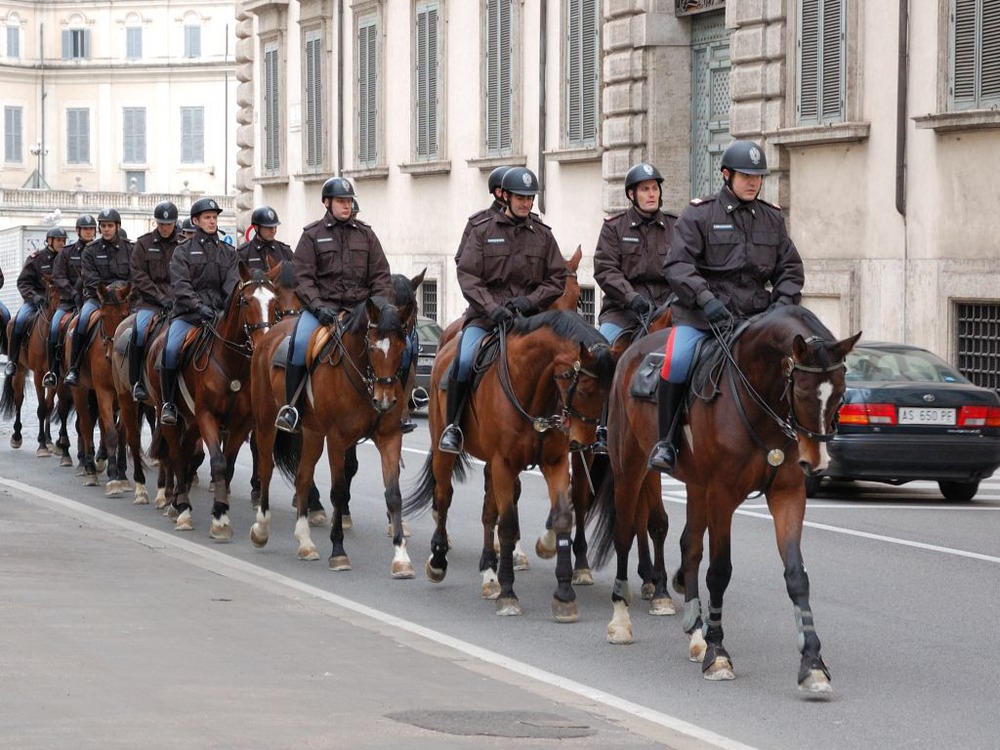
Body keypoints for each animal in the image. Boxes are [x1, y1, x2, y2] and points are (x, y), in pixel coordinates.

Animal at [0, 278, 74, 462]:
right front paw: (41, 446)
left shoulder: (54, 376)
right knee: (18, 398)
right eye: (52, 294)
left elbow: (48, 405)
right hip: (19, 370)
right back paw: (16, 436)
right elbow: (41, 408)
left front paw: (47, 441)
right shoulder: (38, 374)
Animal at [145, 266, 278, 540]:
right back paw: (181, 507)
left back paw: (178, 500)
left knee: (187, 452)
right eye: (246, 301)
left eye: (274, 301)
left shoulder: (240, 426)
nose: (264, 342)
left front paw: (221, 512)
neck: (233, 366)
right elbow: (217, 463)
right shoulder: (207, 417)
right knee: (176, 453)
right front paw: (218, 518)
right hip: (169, 415)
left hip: (192, 421)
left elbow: (227, 468)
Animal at [248, 294, 416, 576]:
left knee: (303, 478)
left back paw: (305, 542)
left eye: (402, 346)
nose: (384, 401)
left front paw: (401, 557)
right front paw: (338, 551)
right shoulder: (337, 440)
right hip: (265, 422)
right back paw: (261, 528)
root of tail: (270, 335)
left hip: (312, 433)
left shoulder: (390, 437)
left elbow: (393, 494)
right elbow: (338, 492)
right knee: (266, 468)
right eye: (372, 347)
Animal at [402, 310, 612, 624]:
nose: (583, 443)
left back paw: (489, 569)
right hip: (444, 450)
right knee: (444, 497)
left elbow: (562, 517)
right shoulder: (504, 464)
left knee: (489, 512)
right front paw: (508, 594)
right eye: (585, 390)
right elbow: (509, 526)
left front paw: (564, 594)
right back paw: (439, 560)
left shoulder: (554, 462)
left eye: (607, 393)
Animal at [592, 306, 860, 692]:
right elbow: (719, 572)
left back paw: (694, 631)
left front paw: (812, 663)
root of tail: (631, 351)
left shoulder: (787, 495)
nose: (817, 461)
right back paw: (621, 620)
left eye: (840, 392)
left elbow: (797, 575)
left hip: (695, 485)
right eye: (803, 391)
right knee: (625, 535)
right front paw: (717, 654)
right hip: (630, 467)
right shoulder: (722, 495)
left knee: (689, 546)